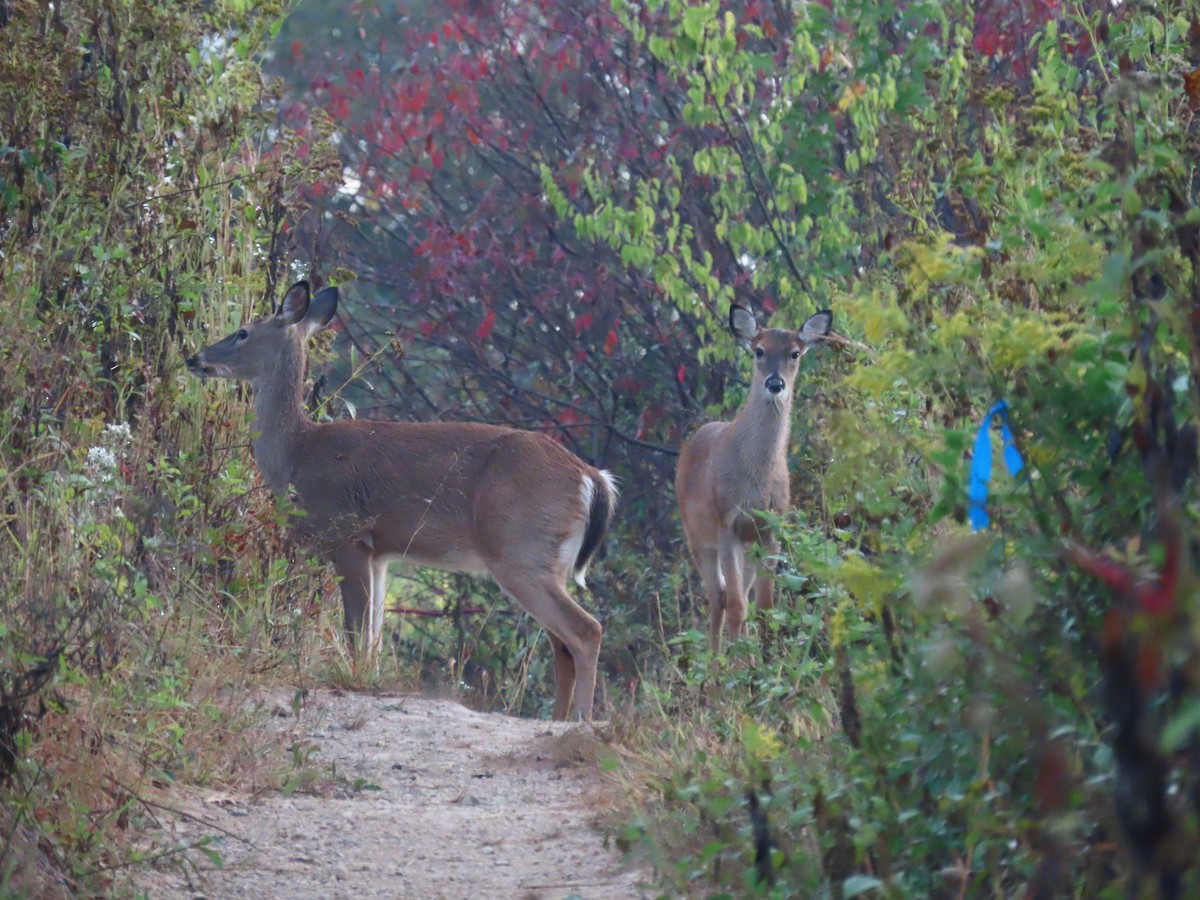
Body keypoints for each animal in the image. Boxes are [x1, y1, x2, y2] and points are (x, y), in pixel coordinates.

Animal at [186, 280, 617, 720]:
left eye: (243, 332)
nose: (195, 358)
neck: (297, 452)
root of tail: (593, 478)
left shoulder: (349, 537)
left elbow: (357, 630)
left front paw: (355, 678)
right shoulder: (381, 553)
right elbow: (374, 634)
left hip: (519, 551)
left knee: (585, 630)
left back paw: (582, 719)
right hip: (546, 560)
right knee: (561, 645)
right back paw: (558, 718)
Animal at [675, 303, 832, 653]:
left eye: (795, 353)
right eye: (759, 351)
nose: (775, 384)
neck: (755, 481)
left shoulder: (770, 529)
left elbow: (764, 607)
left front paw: (766, 660)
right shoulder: (726, 524)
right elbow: (736, 606)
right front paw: (738, 666)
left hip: (748, 546)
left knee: (737, 597)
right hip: (697, 537)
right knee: (719, 597)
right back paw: (717, 664)